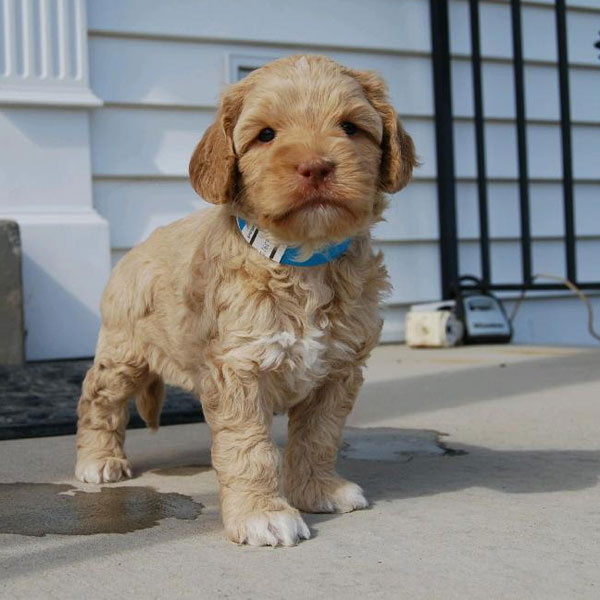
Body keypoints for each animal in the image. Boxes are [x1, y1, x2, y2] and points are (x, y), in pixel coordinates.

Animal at [75, 54, 414, 548]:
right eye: (266, 135)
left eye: (350, 127)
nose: (316, 167)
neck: (302, 260)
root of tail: (132, 251)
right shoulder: (238, 368)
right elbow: (249, 448)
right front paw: (262, 513)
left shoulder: (339, 370)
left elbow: (319, 437)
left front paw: (317, 490)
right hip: (123, 353)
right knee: (98, 399)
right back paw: (98, 459)